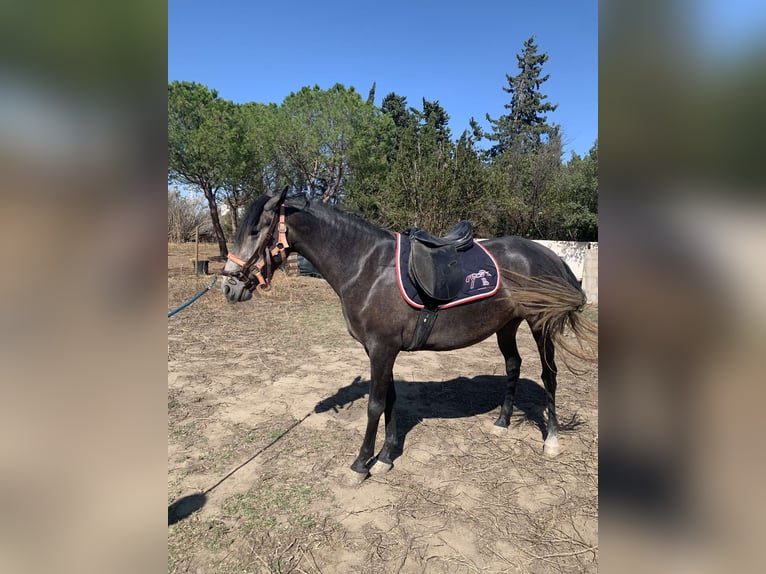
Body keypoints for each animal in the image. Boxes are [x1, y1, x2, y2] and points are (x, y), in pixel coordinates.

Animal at [222, 189, 592, 482]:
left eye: (255, 229)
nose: (228, 286)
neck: (367, 267)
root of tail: (550, 255)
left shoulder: (382, 349)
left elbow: (374, 405)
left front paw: (361, 464)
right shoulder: (383, 351)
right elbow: (390, 400)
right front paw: (385, 458)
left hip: (540, 325)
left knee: (549, 375)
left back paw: (551, 441)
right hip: (506, 325)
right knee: (513, 365)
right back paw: (501, 422)